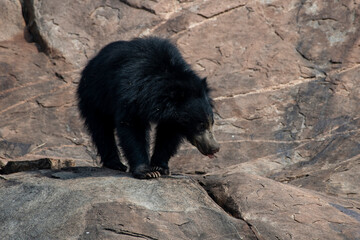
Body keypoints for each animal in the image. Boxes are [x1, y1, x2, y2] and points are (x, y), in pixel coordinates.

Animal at [77, 37, 219, 178]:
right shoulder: (132, 94)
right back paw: (115, 164)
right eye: (200, 125)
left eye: (211, 123)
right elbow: (132, 127)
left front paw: (160, 167)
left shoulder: (172, 117)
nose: (215, 148)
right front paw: (148, 171)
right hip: (95, 95)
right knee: (101, 129)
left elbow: (167, 135)